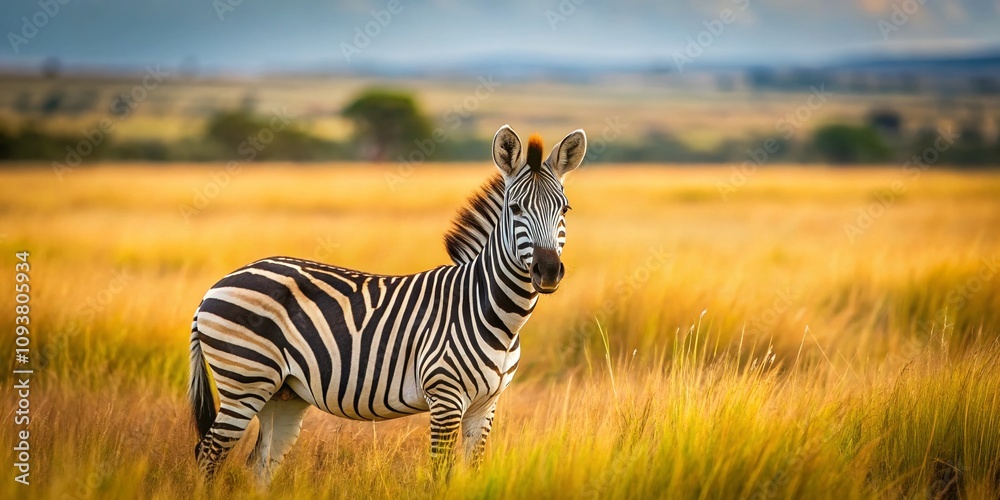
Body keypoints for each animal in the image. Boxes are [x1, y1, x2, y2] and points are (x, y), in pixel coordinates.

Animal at [188, 124, 587, 483]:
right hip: (244, 380)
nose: (548, 271)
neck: (494, 314)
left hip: (281, 393)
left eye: (565, 209)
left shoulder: (485, 406)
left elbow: (472, 471)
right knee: (208, 454)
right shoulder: (445, 398)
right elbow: (441, 475)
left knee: (261, 464)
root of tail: (217, 285)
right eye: (516, 208)